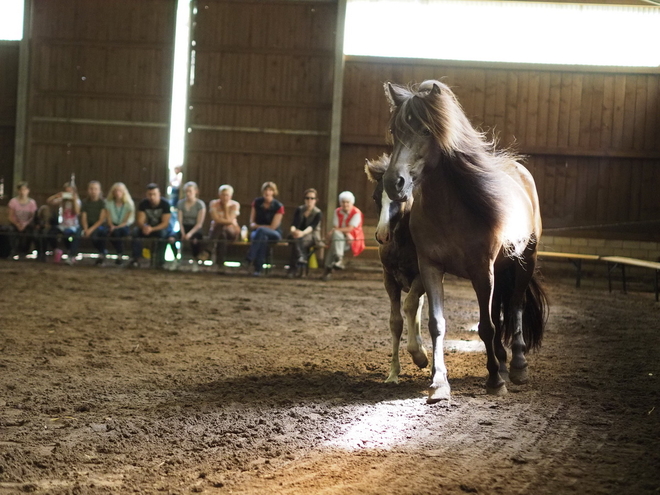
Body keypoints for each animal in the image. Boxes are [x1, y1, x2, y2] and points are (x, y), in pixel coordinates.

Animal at [366, 154, 428, 384]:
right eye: (376, 197)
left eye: (401, 197)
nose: (382, 235)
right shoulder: (389, 279)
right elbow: (396, 322)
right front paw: (393, 374)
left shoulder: (421, 277)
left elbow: (409, 306)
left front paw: (420, 356)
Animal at [382, 78, 548, 404]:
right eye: (395, 130)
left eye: (426, 130)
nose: (394, 183)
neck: (450, 210)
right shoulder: (431, 268)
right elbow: (437, 324)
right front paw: (439, 383)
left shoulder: (481, 270)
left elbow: (487, 326)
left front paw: (495, 380)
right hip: (503, 267)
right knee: (499, 311)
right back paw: (502, 362)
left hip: (525, 262)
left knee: (515, 307)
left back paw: (517, 367)